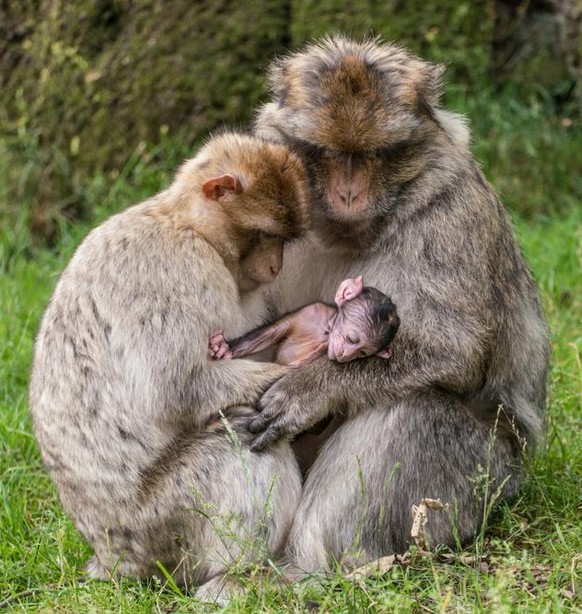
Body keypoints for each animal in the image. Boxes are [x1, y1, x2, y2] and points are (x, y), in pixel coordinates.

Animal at [211, 276, 402, 368]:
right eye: (351, 339)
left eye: (362, 353)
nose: (346, 354)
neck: (327, 327)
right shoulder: (311, 310)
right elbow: (273, 331)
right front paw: (225, 348)